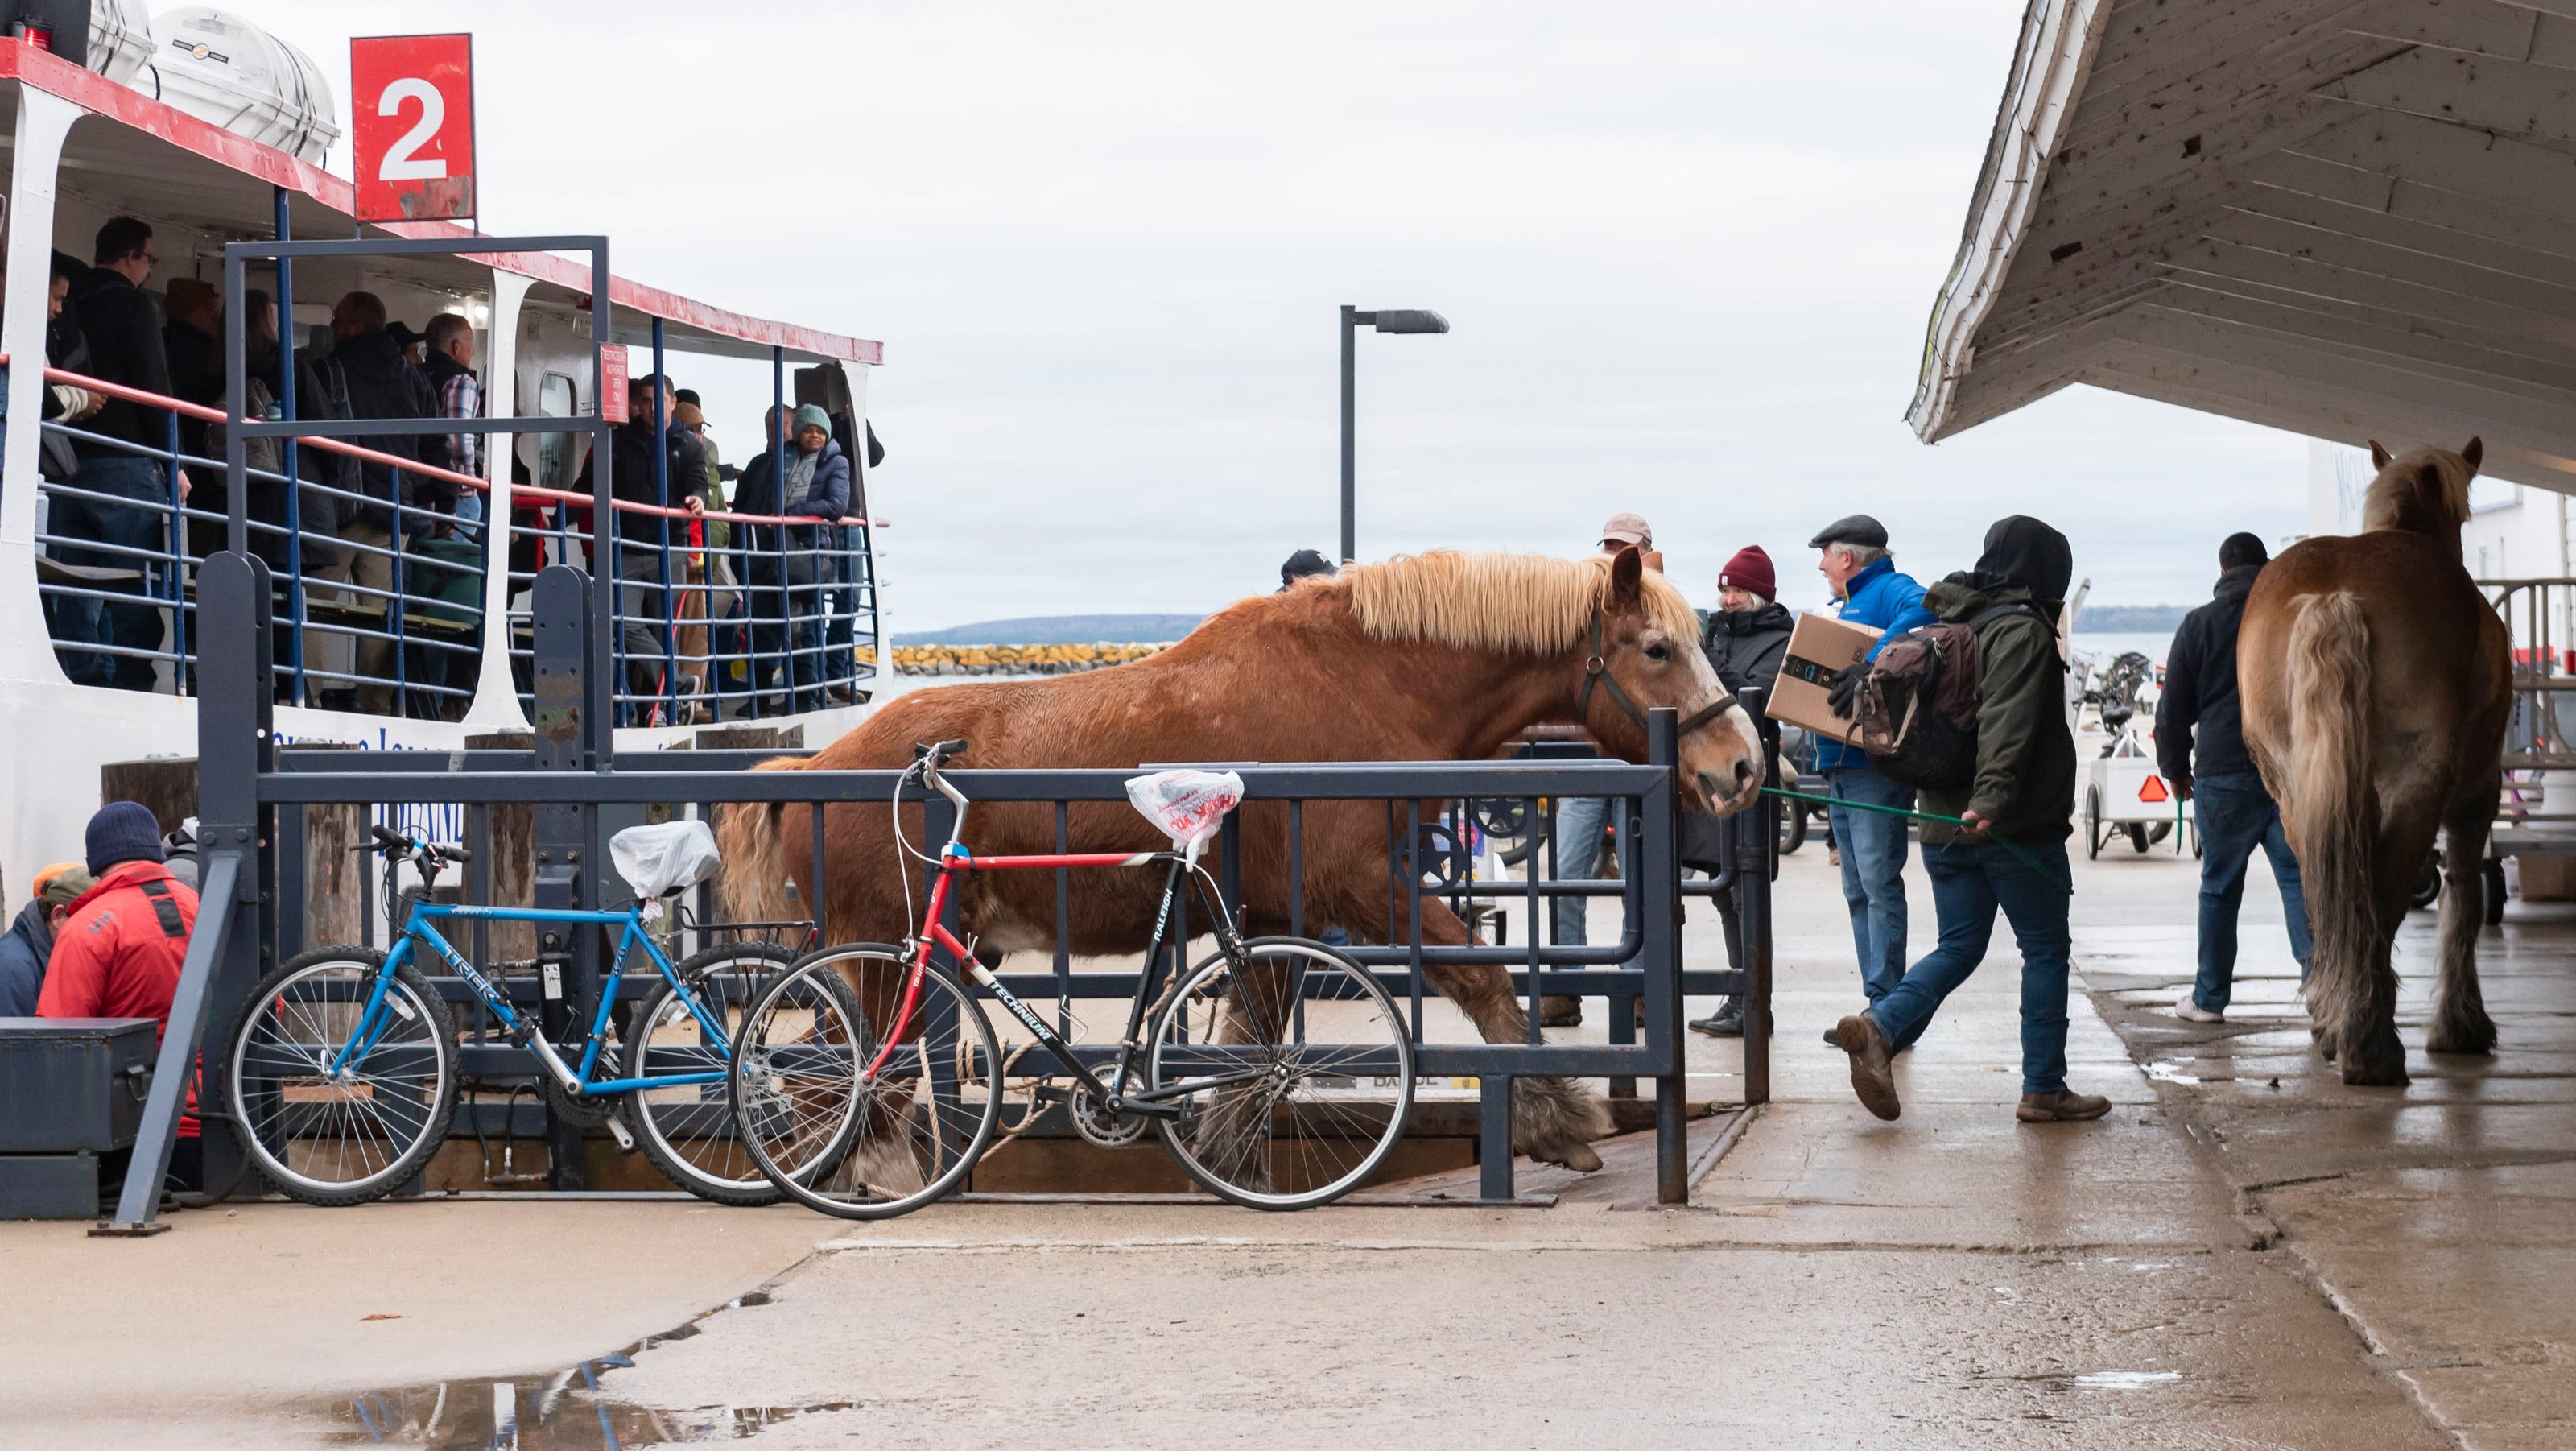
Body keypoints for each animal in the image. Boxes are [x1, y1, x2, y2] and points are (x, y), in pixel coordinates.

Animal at [726, 546, 1772, 1170]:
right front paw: (1558, 1114)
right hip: (882, 954)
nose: (1742, 764)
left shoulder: (1276, 915)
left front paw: (1224, 1149)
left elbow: (1249, 1039)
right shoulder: (1359, 886)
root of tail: (816, 765)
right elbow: (1478, 976)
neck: (1363, 679)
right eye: (1654, 647)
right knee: (850, 1077)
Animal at [2235, 438, 2514, 1082]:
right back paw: (2370, 1045)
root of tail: (2335, 595)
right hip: (2419, 784)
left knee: (2324, 895)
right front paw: (2462, 1025)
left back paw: (2332, 1021)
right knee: (2386, 898)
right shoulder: (2477, 798)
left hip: (2297, 793)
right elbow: (2465, 899)